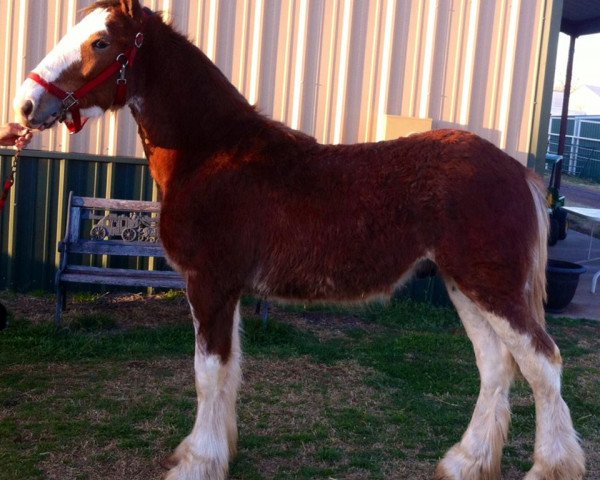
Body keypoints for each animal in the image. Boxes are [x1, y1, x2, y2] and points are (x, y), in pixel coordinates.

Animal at [14, 1, 584, 478]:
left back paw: (550, 467)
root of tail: (519, 172)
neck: (213, 153)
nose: (25, 104)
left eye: (101, 42)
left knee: (544, 364)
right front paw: (217, 452)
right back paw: (466, 462)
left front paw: (196, 463)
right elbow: (230, 371)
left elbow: (207, 373)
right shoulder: (228, 290)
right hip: (464, 286)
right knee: (497, 368)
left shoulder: (209, 285)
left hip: (493, 288)